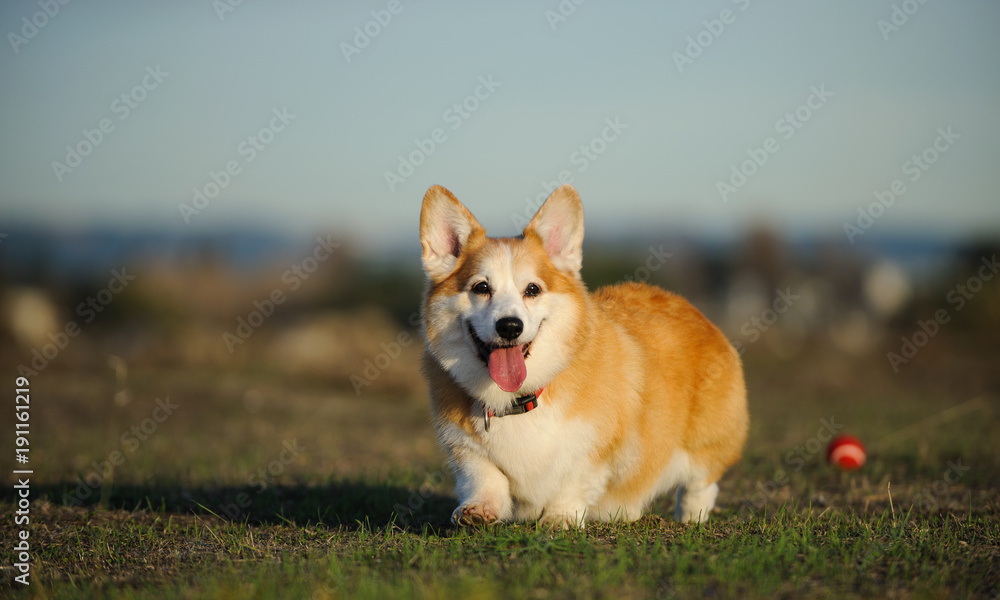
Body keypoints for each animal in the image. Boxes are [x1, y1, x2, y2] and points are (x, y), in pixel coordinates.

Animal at [418, 185, 748, 528]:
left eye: (533, 289)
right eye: (481, 287)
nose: (509, 326)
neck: (520, 399)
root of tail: (690, 308)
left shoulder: (592, 449)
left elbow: (572, 480)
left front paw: (559, 517)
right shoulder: (466, 448)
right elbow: (484, 476)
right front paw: (478, 510)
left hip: (706, 441)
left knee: (701, 482)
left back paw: (691, 516)